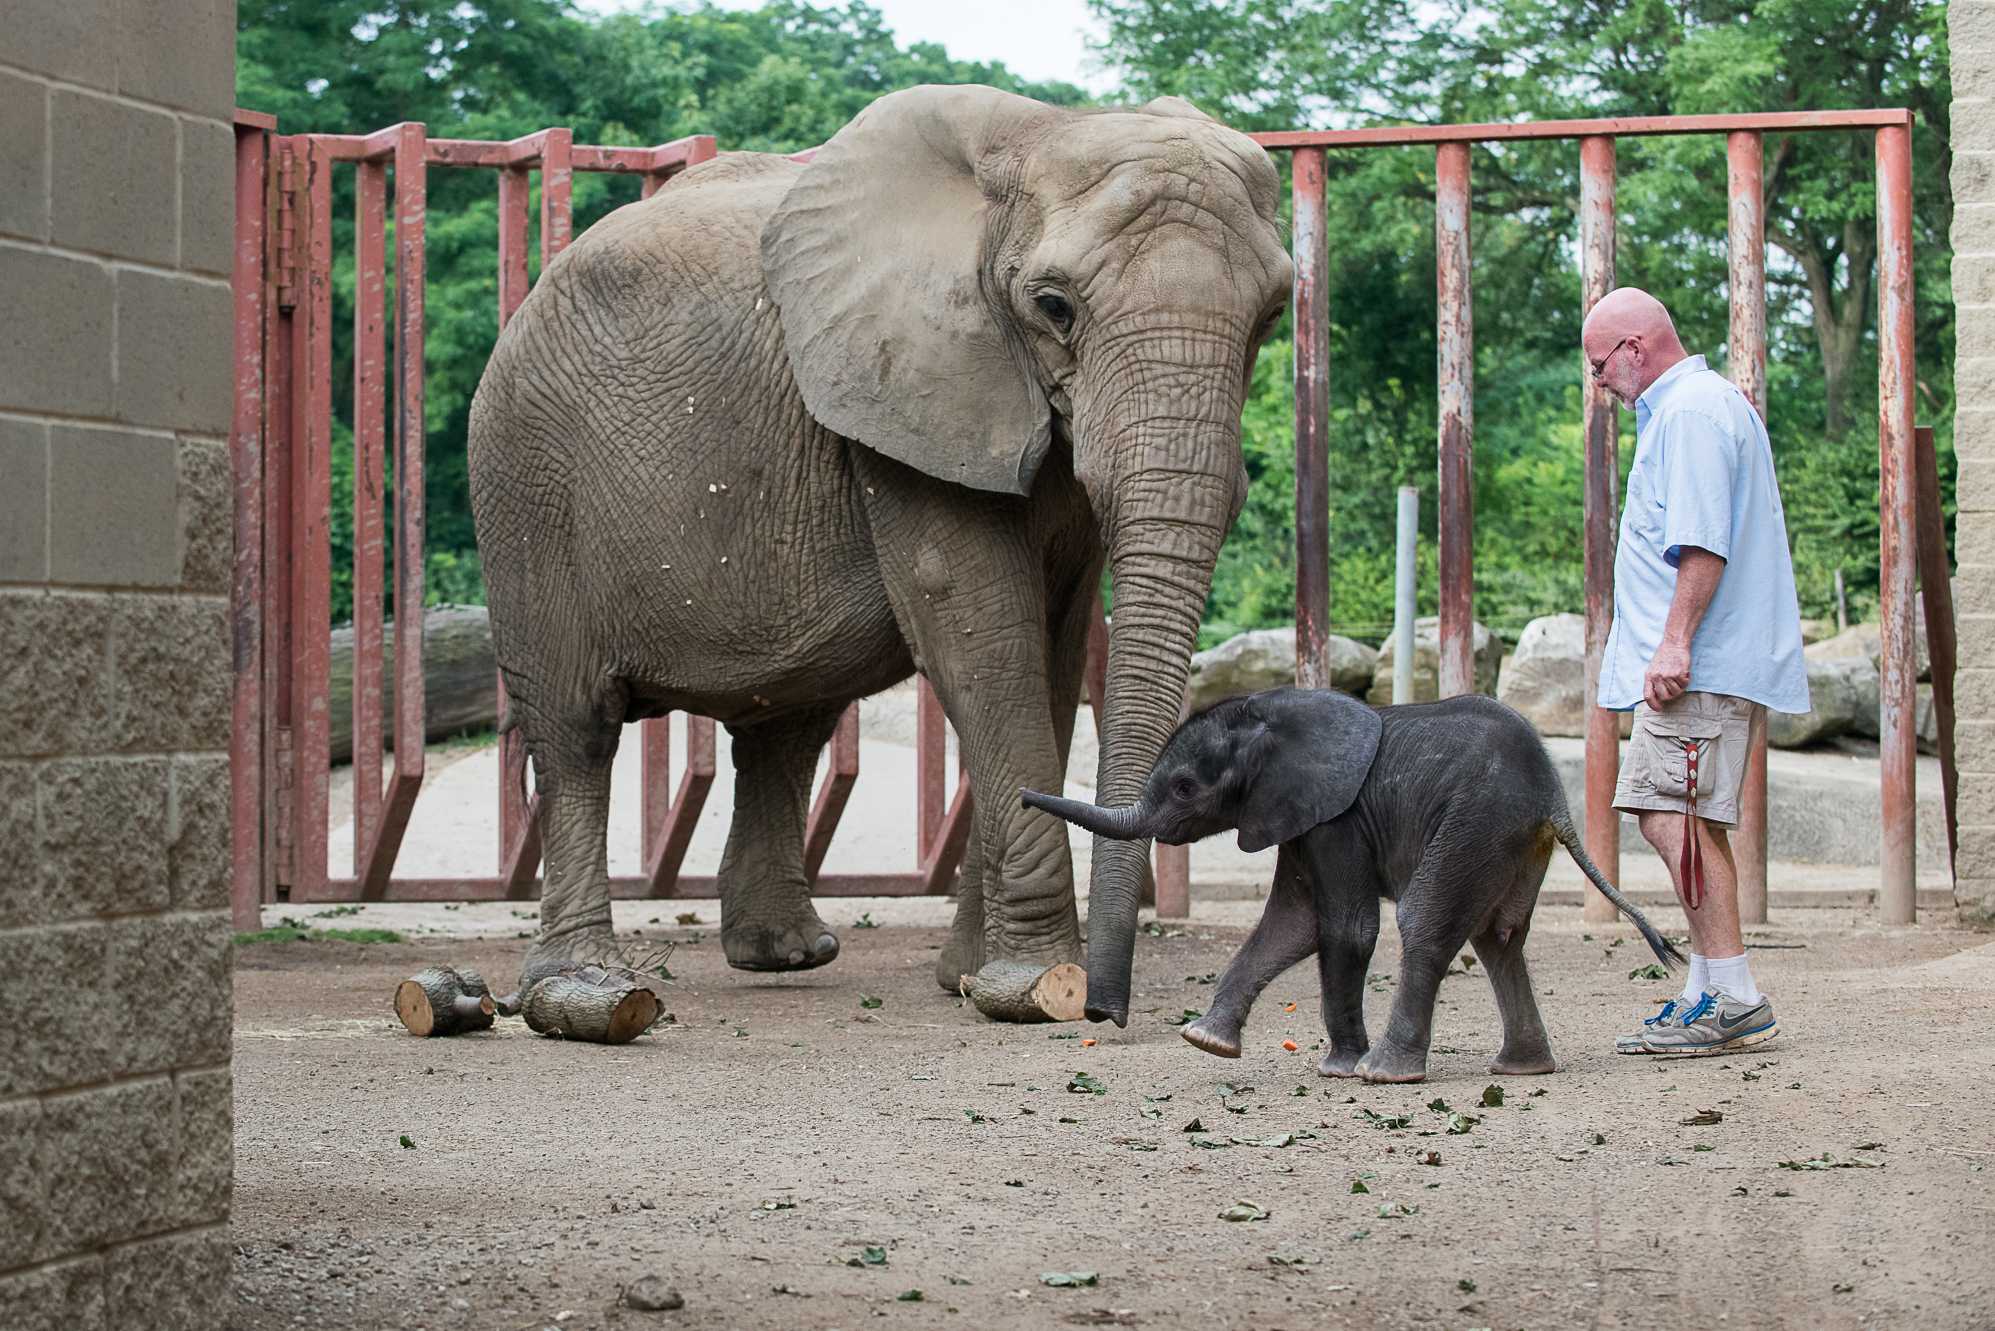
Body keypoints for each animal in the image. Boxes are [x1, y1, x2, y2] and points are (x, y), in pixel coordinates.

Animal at [467, 84, 1293, 1004]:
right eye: (1053, 307)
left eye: (1271, 315)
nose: (1103, 1006)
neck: (1036, 137)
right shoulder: (907, 396)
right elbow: (983, 636)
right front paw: (1030, 986)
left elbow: (1051, 649)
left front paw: (975, 979)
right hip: (526, 477)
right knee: (578, 725)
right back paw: (585, 986)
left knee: (787, 726)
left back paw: (785, 954)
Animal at [1020, 688, 1683, 1081]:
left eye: (1185, 788)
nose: (1024, 797)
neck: (1273, 715)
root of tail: (1554, 799)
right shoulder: (1297, 815)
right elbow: (1290, 925)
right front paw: (1206, 1042)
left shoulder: (1337, 818)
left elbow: (1346, 929)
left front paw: (1338, 1070)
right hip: (1513, 842)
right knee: (1499, 938)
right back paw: (1522, 1070)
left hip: (1477, 822)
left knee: (1427, 922)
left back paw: (1383, 1074)